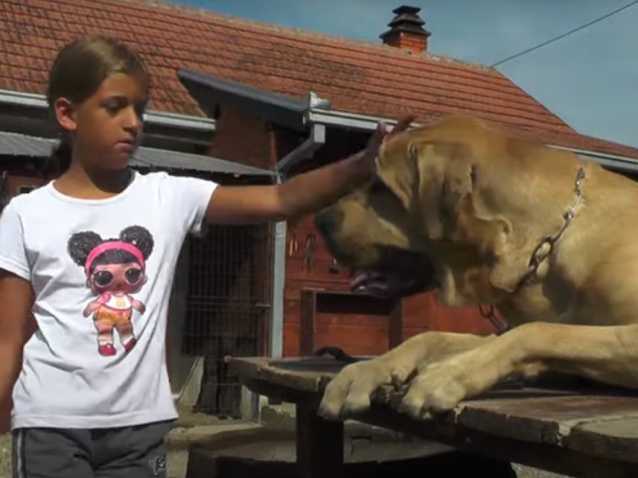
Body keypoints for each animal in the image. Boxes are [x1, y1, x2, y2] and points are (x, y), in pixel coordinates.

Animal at [315, 114, 638, 421]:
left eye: (381, 186)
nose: (320, 221)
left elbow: (537, 331)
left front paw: (446, 374)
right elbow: (432, 337)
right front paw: (365, 370)